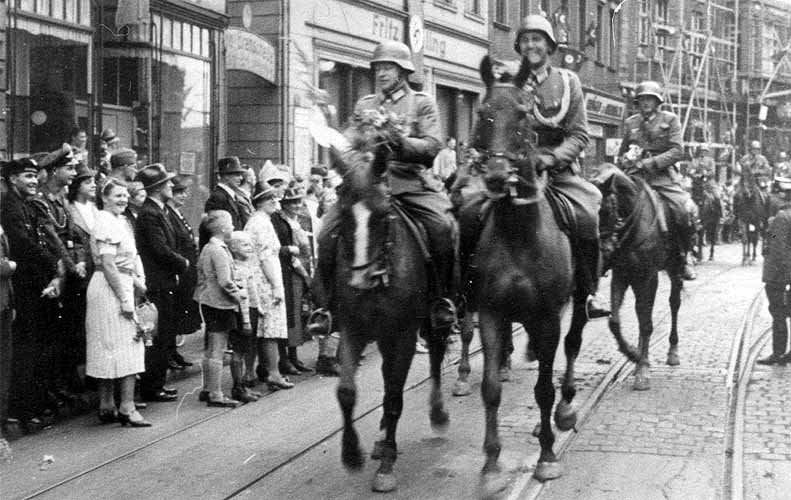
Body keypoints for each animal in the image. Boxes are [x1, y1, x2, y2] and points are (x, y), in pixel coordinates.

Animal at [314, 107, 452, 490]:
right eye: (344, 213)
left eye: (384, 213)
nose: (360, 279)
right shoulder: (352, 331)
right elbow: (347, 392)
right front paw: (352, 454)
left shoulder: (402, 335)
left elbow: (393, 396)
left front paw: (387, 466)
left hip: (429, 321)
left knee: (435, 356)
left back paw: (437, 414)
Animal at [468, 56, 592, 494]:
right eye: (483, 114)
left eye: (523, 114)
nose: (495, 175)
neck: (519, 233)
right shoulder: (491, 312)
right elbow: (490, 389)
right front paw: (490, 466)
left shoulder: (547, 317)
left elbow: (543, 389)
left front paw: (547, 457)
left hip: (580, 300)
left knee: (572, 346)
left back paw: (566, 409)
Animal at [592, 164, 688, 390]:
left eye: (606, 210)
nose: (603, 251)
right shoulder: (621, 275)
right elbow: (615, 321)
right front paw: (633, 355)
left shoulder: (649, 277)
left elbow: (647, 324)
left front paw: (643, 370)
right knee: (640, 311)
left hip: (673, 270)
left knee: (674, 304)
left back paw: (672, 352)